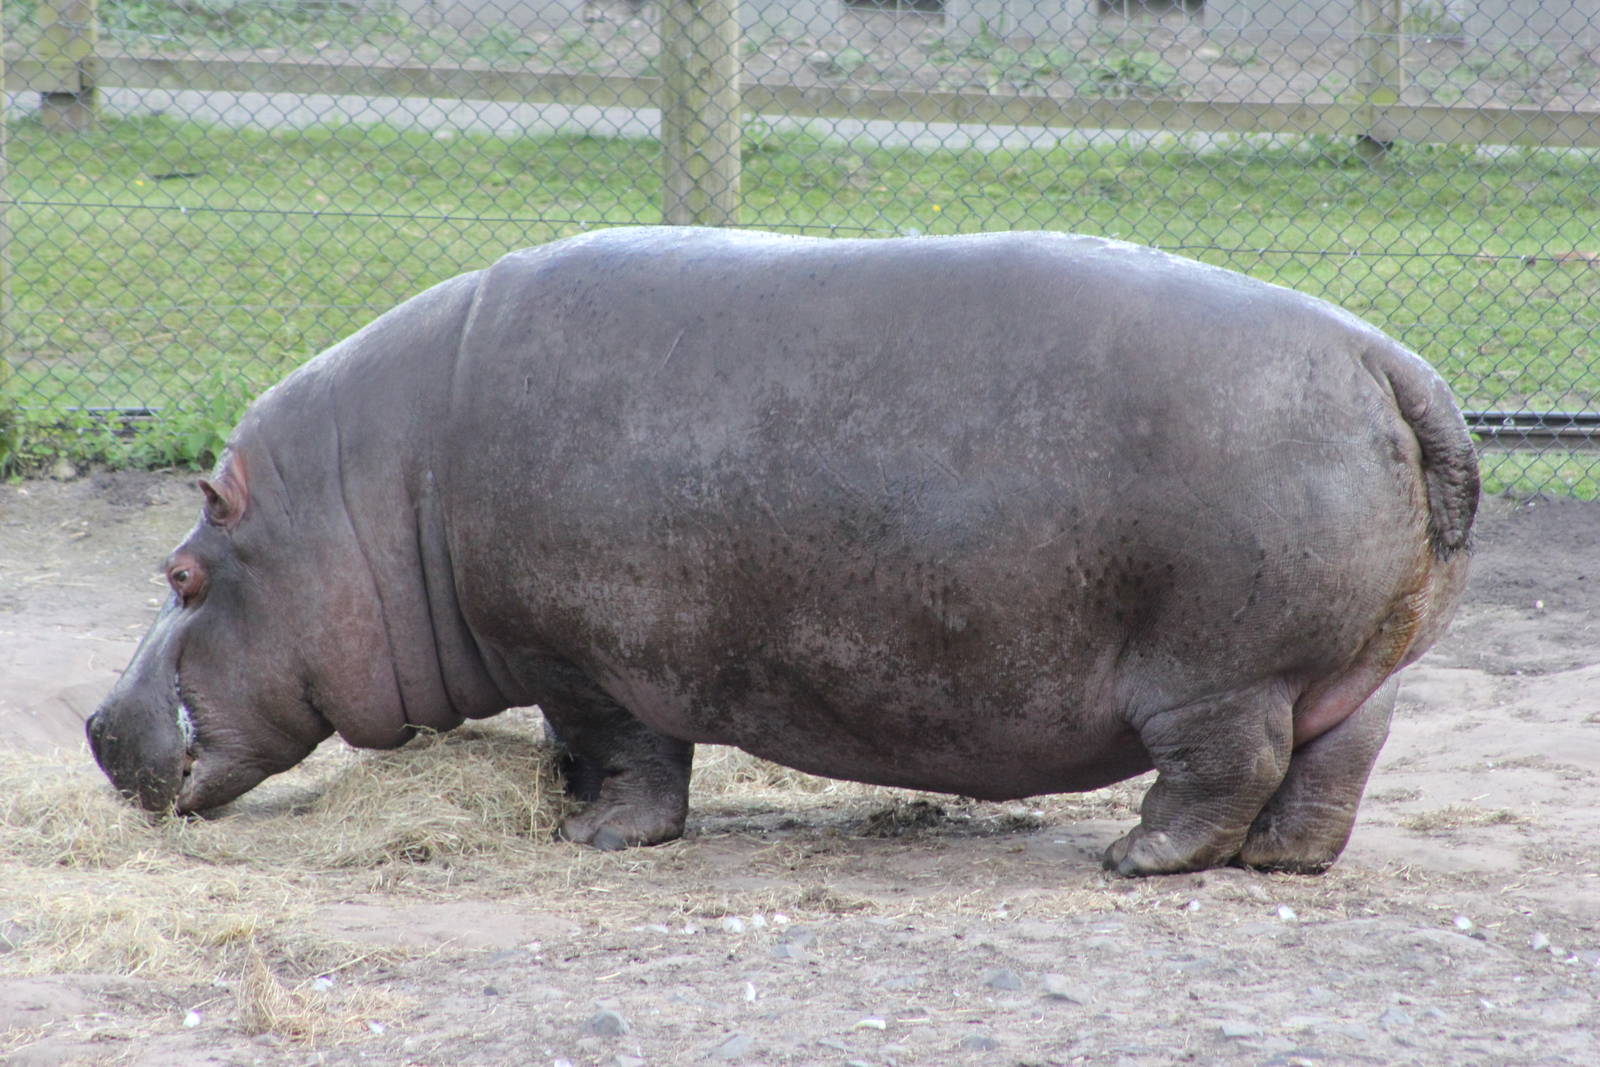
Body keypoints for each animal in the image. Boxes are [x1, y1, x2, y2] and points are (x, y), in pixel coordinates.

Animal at [87, 227, 1478, 876]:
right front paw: (563, 811)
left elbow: (626, 755)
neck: (372, 496)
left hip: (1217, 669)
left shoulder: (585, 654)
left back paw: (1135, 856)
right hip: (1347, 666)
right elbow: (577, 750)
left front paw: (600, 840)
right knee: (1335, 756)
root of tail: (1384, 353)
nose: (96, 722)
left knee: (1222, 766)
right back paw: (1283, 859)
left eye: (181, 575)